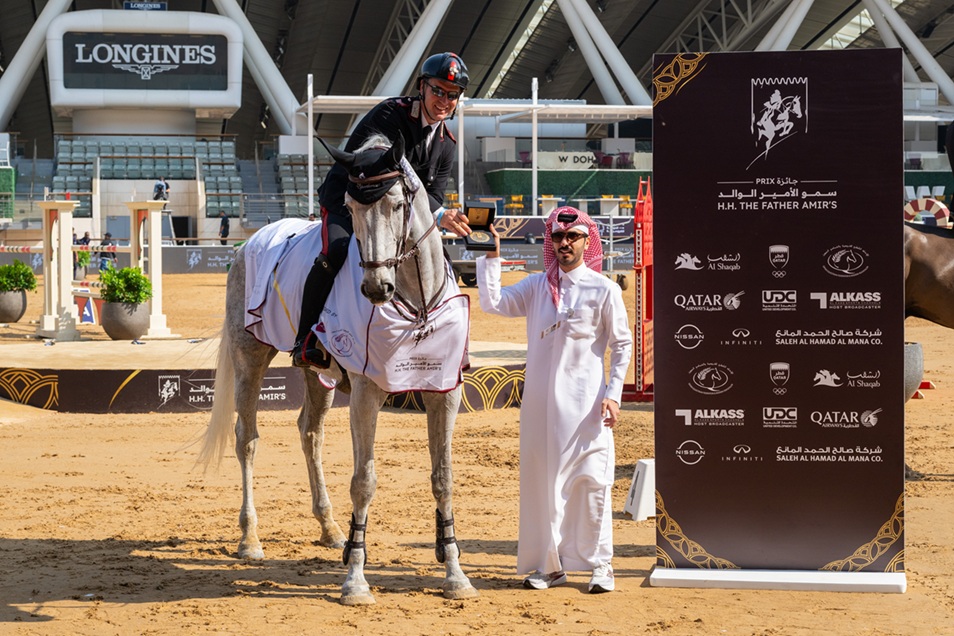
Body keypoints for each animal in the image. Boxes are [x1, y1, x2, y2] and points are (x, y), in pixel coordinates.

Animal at [199, 134, 478, 606]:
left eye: (398, 205)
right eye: (349, 204)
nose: (375, 288)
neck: (416, 305)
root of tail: (252, 241)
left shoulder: (444, 391)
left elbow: (444, 478)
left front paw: (455, 573)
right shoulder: (367, 393)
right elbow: (364, 481)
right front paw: (356, 580)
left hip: (318, 375)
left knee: (310, 432)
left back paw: (330, 528)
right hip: (249, 355)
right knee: (246, 438)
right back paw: (250, 537)